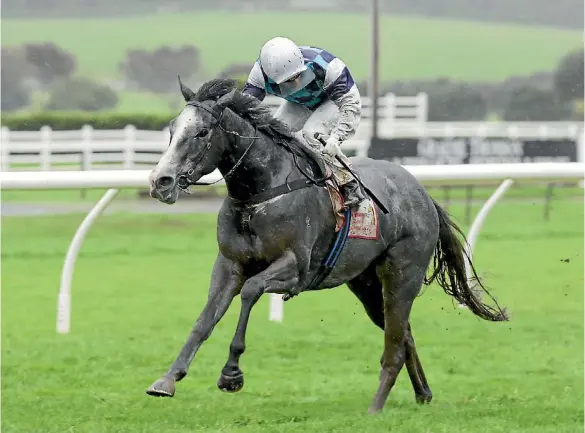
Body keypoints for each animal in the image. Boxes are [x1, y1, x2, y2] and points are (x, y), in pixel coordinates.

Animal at [146, 77, 506, 412]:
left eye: (202, 132)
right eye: (172, 130)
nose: (160, 181)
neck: (260, 191)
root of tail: (424, 195)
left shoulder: (295, 267)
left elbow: (250, 290)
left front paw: (231, 373)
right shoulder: (229, 265)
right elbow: (206, 318)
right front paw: (167, 379)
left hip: (403, 274)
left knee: (395, 339)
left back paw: (378, 405)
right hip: (366, 284)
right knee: (403, 333)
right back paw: (423, 393)